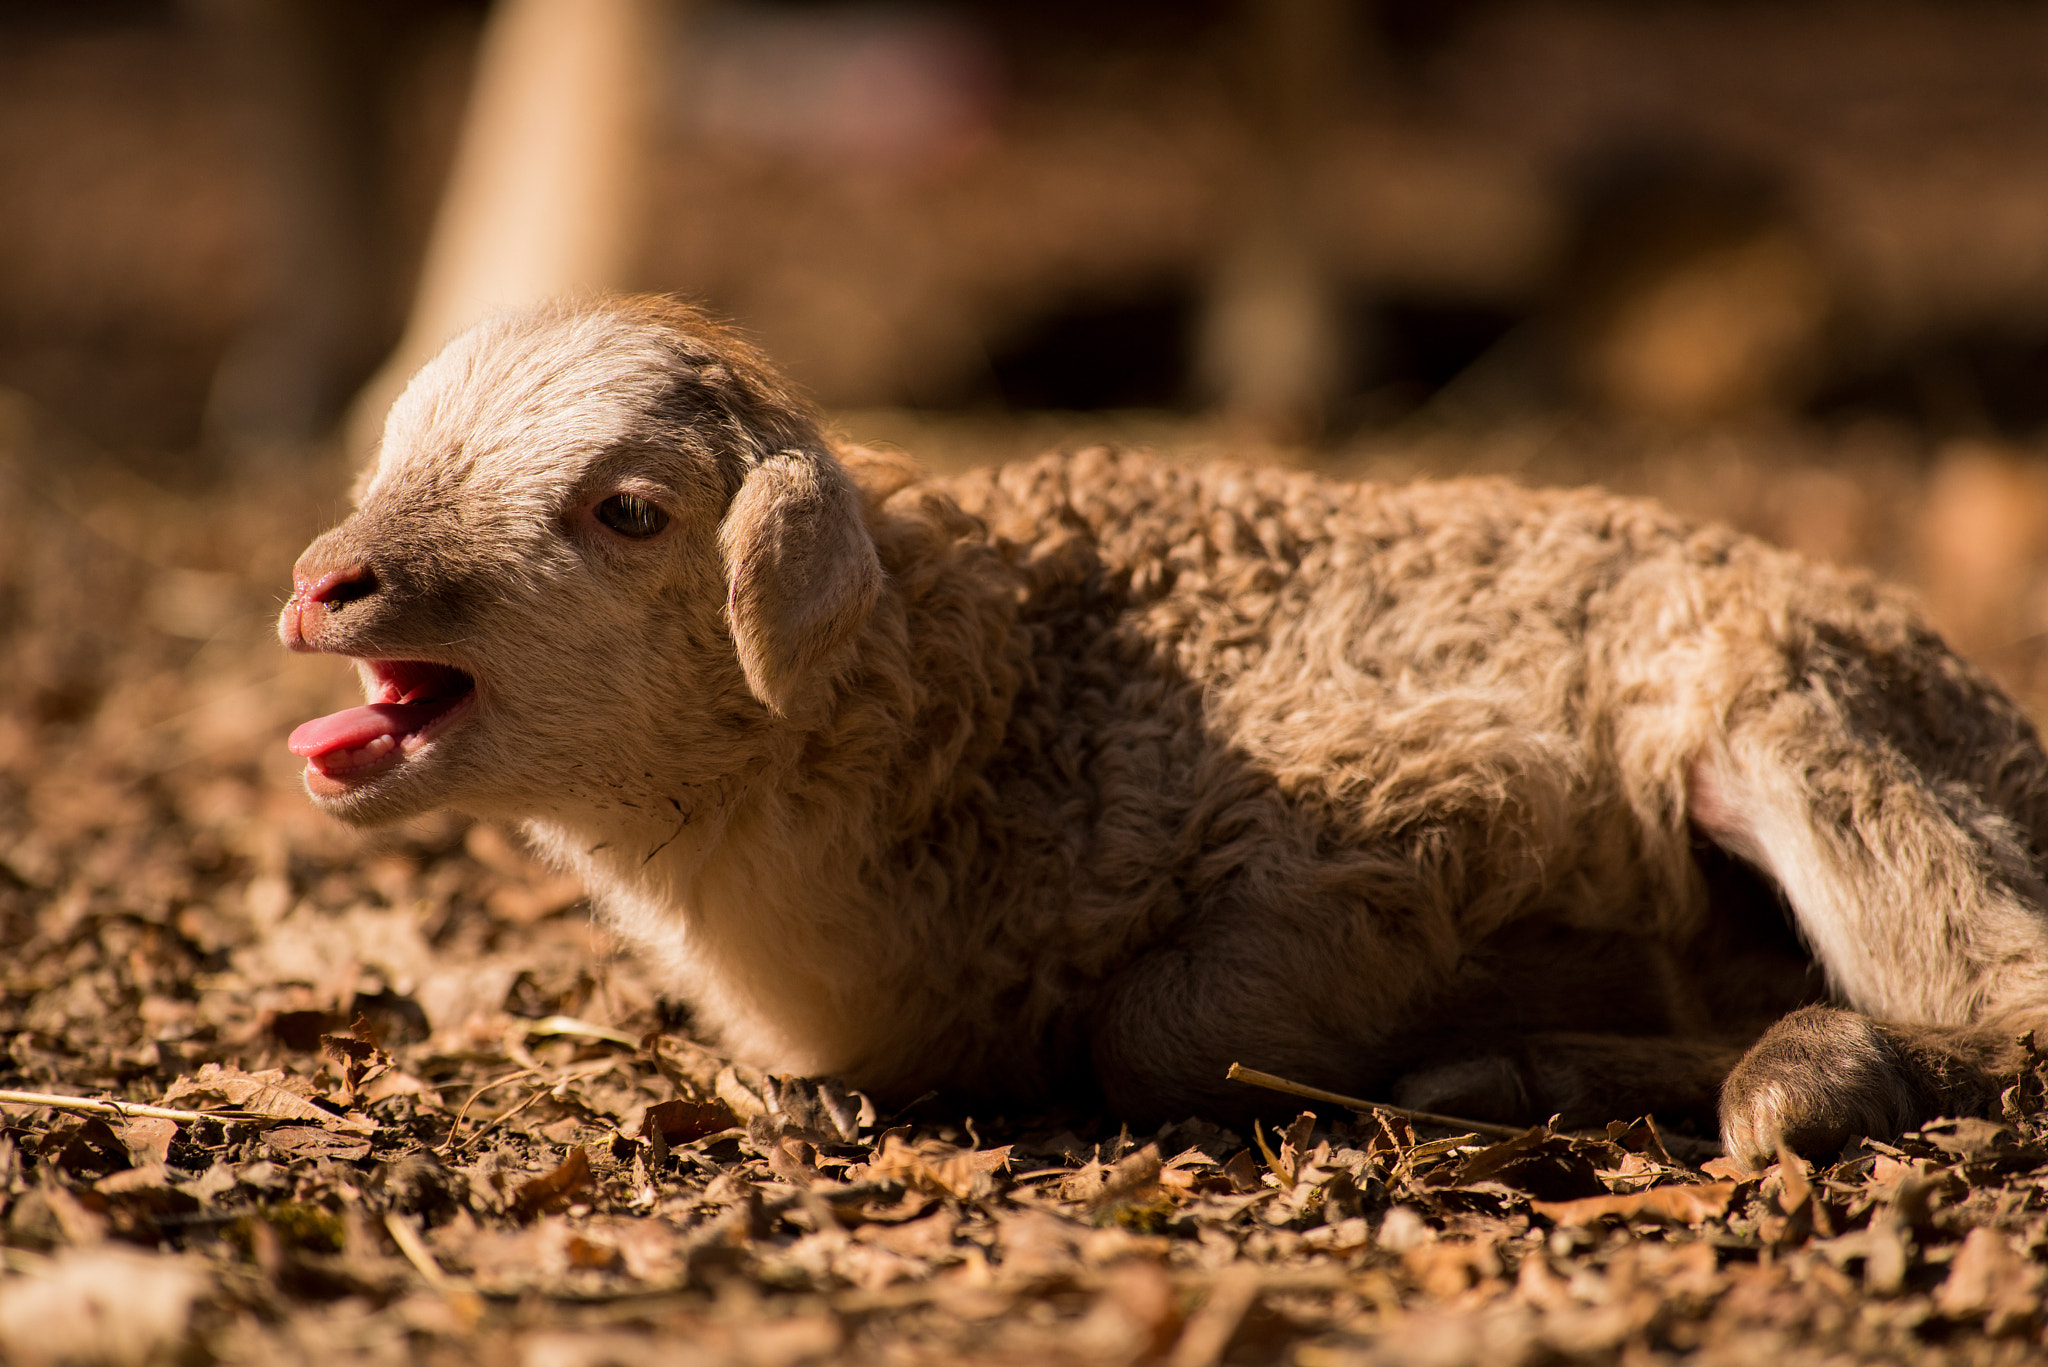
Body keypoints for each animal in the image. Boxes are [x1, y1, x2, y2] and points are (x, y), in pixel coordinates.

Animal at [280, 297, 2048, 1164]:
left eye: (629, 509)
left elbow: (1163, 1029)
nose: (322, 583)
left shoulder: (1432, 809)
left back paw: (1746, 1067)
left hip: (1809, 723)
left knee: (1997, 988)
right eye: (393, 454)